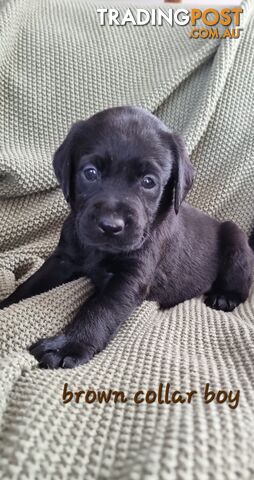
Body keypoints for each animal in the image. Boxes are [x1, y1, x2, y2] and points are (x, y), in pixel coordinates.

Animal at [0, 106, 253, 368]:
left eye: (149, 182)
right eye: (90, 173)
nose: (111, 226)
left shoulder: (129, 278)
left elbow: (100, 309)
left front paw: (71, 345)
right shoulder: (63, 259)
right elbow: (30, 285)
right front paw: (5, 306)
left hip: (235, 238)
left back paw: (224, 297)